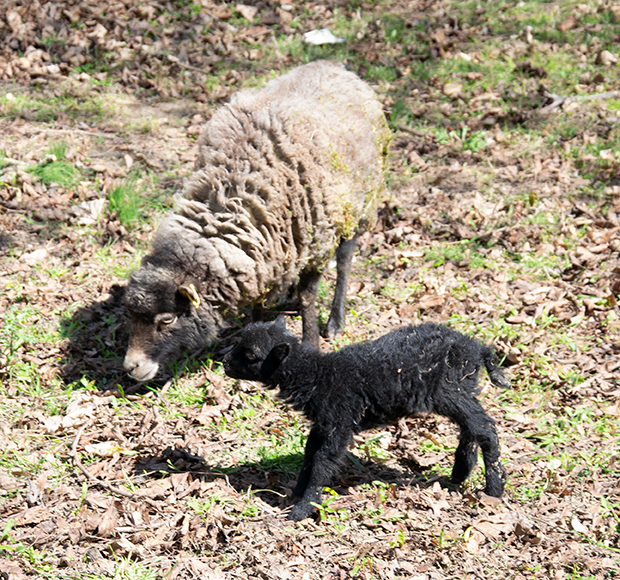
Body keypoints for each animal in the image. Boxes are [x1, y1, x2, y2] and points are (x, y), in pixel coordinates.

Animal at [123, 61, 390, 382]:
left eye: (167, 319)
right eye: (131, 315)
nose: (130, 367)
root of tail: (334, 65)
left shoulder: (318, 240)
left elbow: (308, 297)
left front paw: (310, 341)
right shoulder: (261, 257)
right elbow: (259, 304)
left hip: (357, 208)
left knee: (346, 259)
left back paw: (336, 321)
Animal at [223, 318, 508, 520]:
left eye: (250, 356)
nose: (224, 363)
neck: (318, 376)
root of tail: (477, 349)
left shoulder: (339, 422)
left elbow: (322, 462)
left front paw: (302, 509)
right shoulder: (324, 423)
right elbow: (309, 454)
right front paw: (297, 495)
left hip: (450, 390)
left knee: (485, 428)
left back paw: (494, 488)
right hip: (462, 390)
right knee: (472, 428)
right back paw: (460, 473)